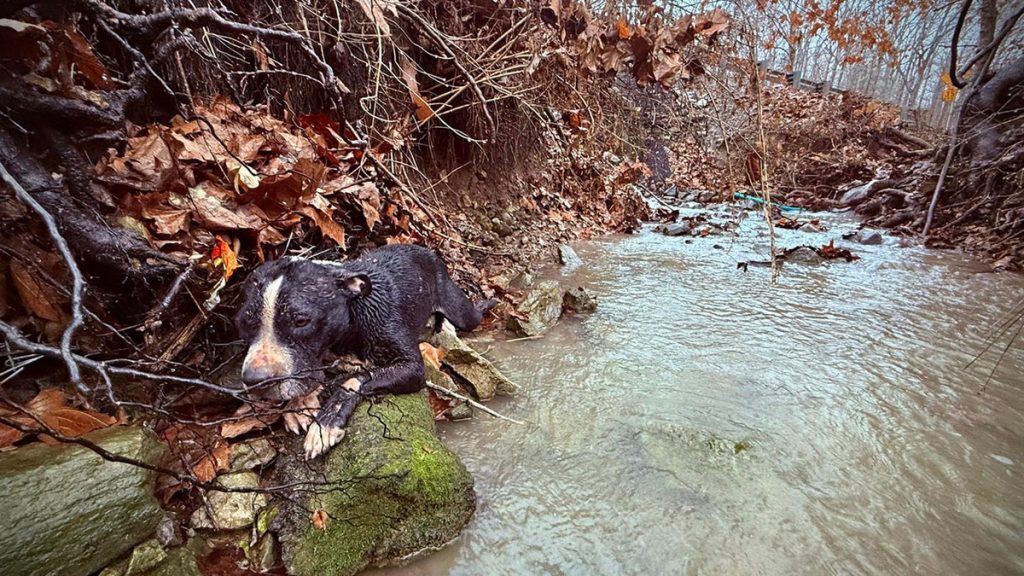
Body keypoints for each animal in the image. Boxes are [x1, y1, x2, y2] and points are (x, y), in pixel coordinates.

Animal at [234, 241, 489, 457]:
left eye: (301, 320)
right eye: (244, 322)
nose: (255, 380)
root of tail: (423, 247)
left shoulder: (411, 368)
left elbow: (352, 381)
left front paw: (326, 422)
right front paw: (300, 404)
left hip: (461, 312)